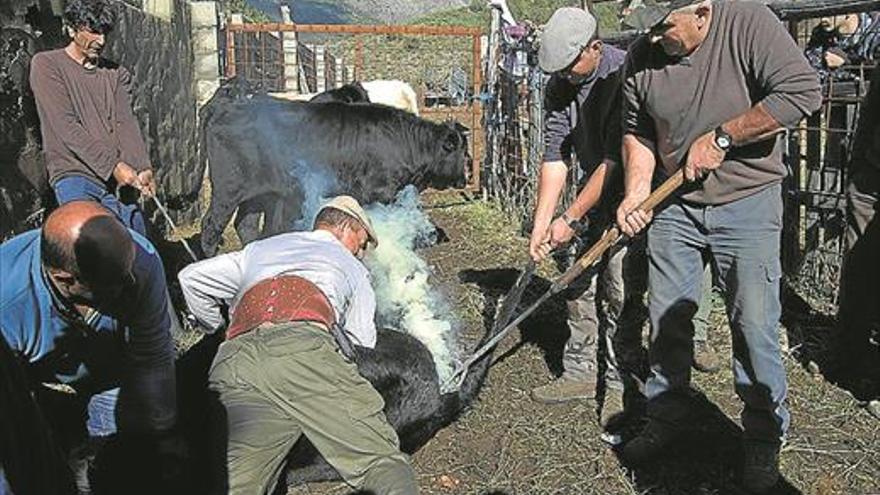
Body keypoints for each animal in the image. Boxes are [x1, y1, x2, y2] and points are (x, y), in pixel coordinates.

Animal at [192, 80, 468, 256]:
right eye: (463, 153)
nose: (465, 180)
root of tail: (224, 107)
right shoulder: (382, 193)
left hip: (257, 194)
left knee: (246, 225)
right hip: (228, 188)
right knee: (211, 226)